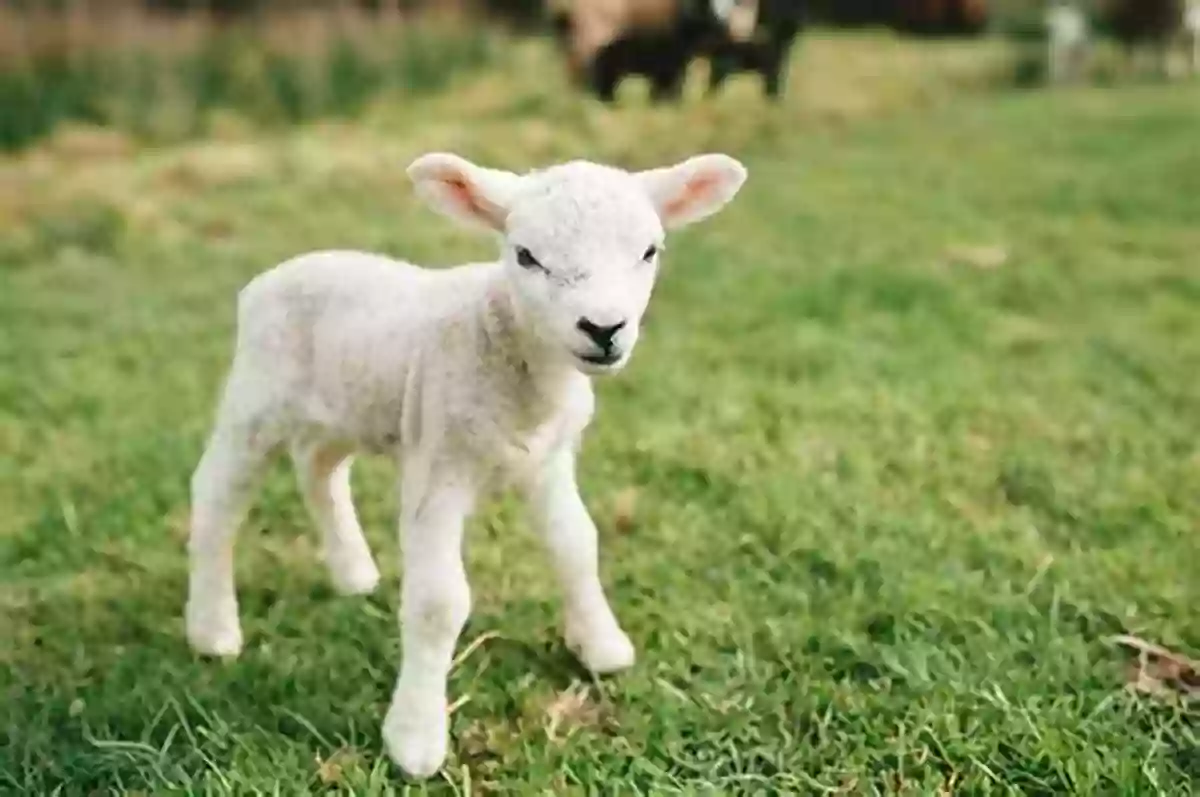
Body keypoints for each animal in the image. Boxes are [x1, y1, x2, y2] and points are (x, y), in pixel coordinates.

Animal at [182, 151, 744, 777]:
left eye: (649, 251)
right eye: (526, 255)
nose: (603, 329)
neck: (510, 346)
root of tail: (273, 276)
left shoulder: (549, 462)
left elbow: (578, 544)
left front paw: (601, 646)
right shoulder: (439, 467)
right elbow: (438, 602)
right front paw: (415, 741)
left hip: (345, 408)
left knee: (319, 468)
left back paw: (353, 573)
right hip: (255, 403)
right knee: (216, 498)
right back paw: (213, 630)